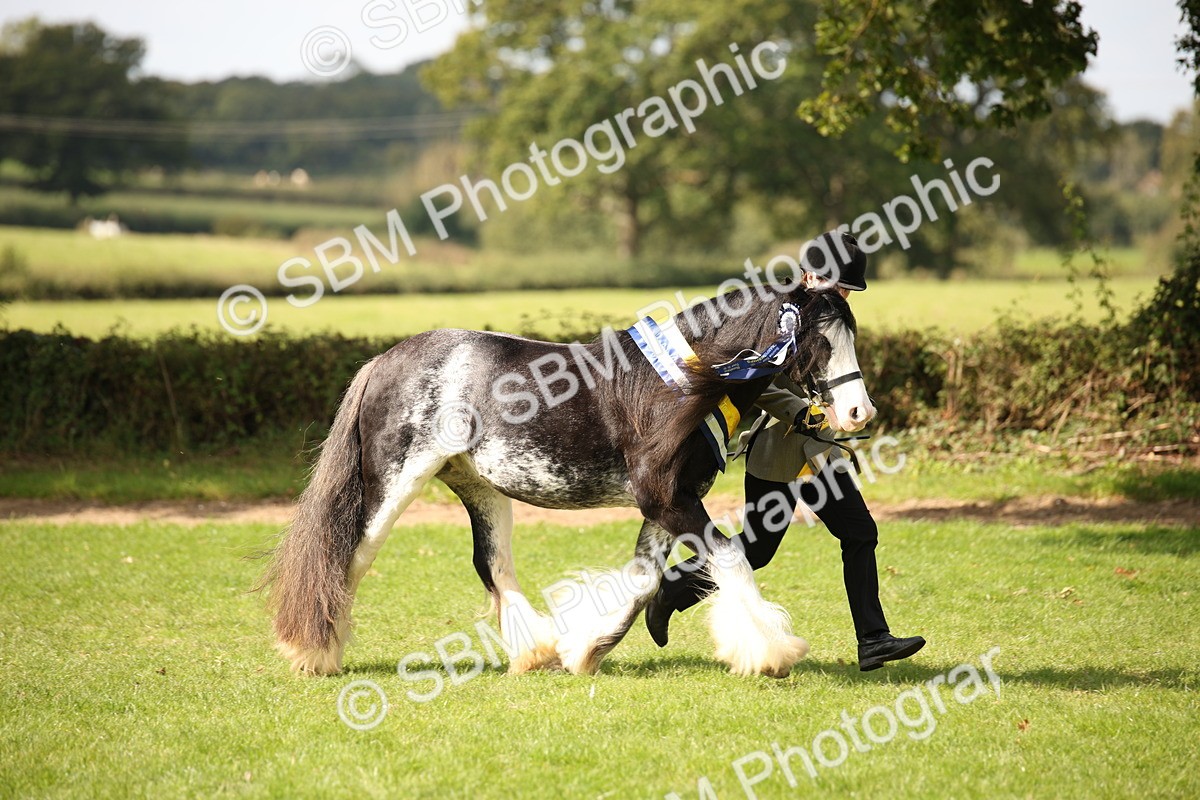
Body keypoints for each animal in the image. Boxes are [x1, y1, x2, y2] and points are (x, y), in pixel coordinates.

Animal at [262, 282, 875, 679]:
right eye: (817, 340)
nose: (857, 414)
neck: (683, 383)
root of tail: (382, 362)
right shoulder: (665, 498)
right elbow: (729, 558)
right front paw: (772, 652)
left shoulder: (668, 503)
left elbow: (642, 581)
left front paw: (583, 651)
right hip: (395, 482)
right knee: (352, 555)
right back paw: (315, 655)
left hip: (480, 487)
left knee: (493, 564)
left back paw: (534, 653)